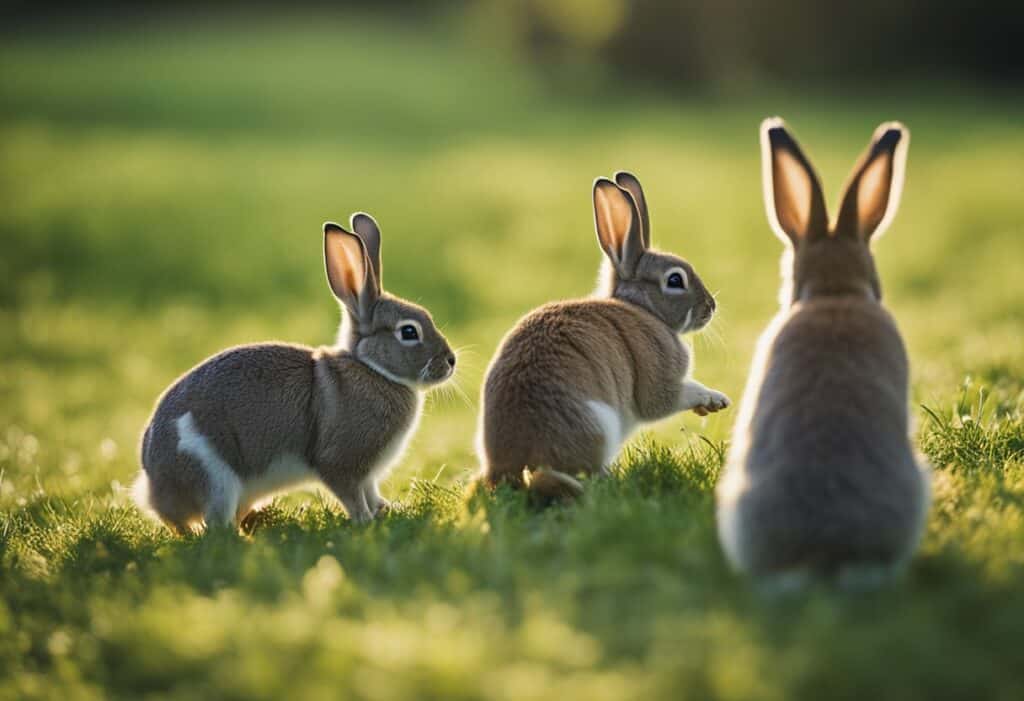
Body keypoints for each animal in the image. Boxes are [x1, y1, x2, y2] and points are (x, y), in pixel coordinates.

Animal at [133, 213, 456, 533]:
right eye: (409, 332)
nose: (451, 361)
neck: (372, 368)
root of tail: (152, 479)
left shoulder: (368, 475)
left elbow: (371, 493)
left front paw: (385, 510)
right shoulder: (341, 463)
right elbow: (353, 496)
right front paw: (365, 521)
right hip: (214, 477)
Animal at [477, 172, 730, 499]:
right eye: (675, 280)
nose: (710, 307)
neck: (643, 308)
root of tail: (511, 465)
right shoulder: (659, 383)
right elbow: (667, 398)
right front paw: (714, 399)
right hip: (598, 425)